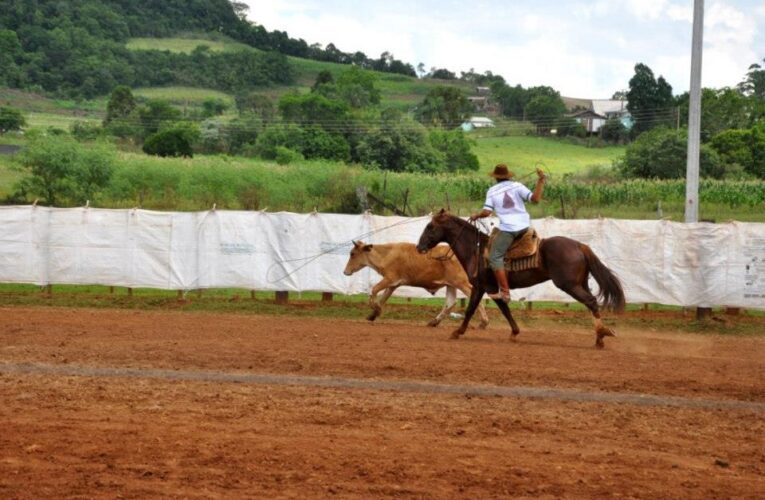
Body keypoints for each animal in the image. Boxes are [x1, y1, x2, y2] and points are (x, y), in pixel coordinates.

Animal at [342, 241, 486, 328]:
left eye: (352, 254)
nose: (345, 272)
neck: (387, 254)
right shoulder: (393, 284)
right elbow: (383, 298)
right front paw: (373, 315)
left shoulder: (389, 279)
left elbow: (374, 290)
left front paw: (375, 309)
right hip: (451, 284)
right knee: (450, 303)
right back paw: (433, 322)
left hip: (461, 282)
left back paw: (484, 322)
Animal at [414, 210, 624, 348]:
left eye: (430, 226)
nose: (419, 247)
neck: (477, 249)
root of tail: (580, 245)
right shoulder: (489, 288)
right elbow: (502, 309)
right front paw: (514, 333)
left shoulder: (484, 286)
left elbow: (473, 309)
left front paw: (457, 332)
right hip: (581, 283)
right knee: (591, 303)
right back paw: (600, 334)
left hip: (569, 285)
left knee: (591, 302)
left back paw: (600, 337)